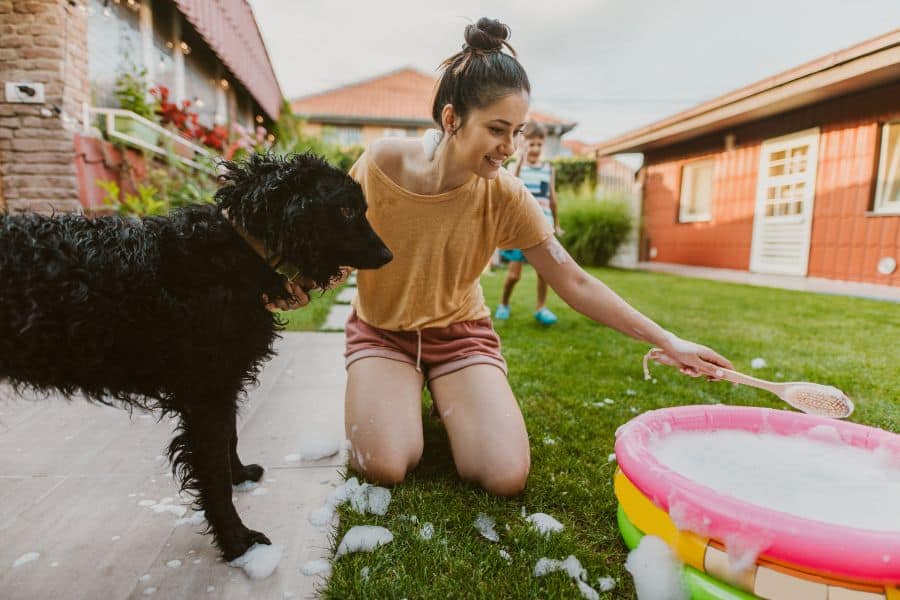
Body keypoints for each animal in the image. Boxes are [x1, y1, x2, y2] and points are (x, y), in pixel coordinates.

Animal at [0, 152, 394, 560]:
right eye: (346, 210)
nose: (388, 255)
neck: (234, 253)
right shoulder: (206, 392)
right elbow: (213, 471)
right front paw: (236, 540)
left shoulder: (223, 380)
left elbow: (229, 439)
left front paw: (240, 475)